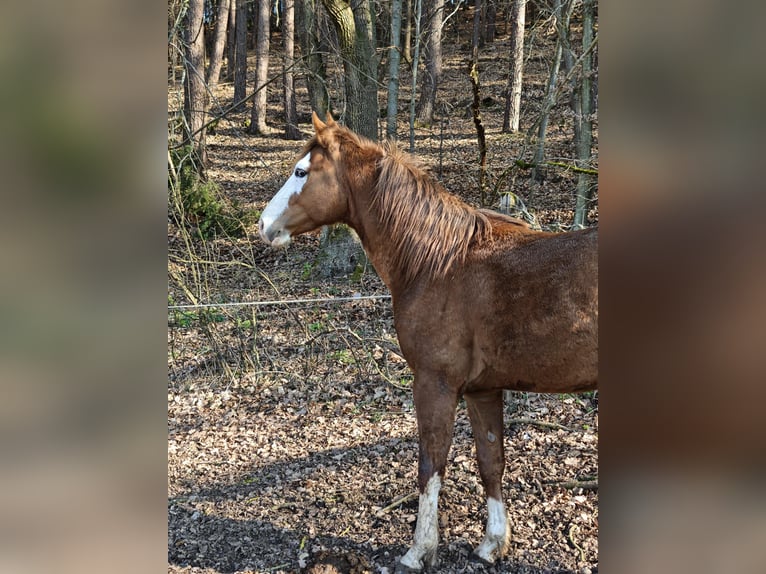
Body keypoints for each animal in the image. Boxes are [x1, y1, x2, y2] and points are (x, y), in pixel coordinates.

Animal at [258, 113, 598, 571]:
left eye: (300, 172)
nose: (263, 225)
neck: (437, 261)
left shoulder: (433, 384)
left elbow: (430, 465)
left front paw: (419, 550)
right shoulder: (482, 390)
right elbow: (491, 461)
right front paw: (493, 544)